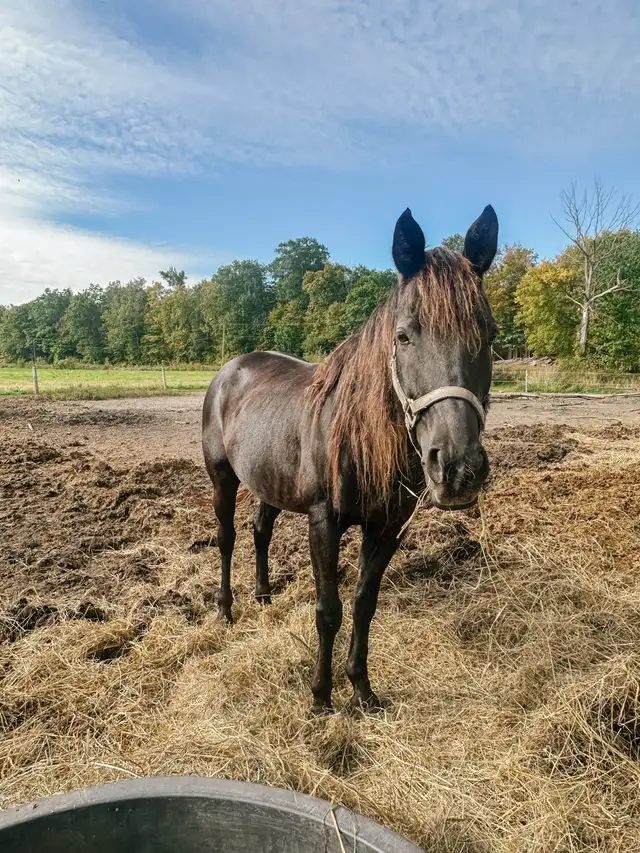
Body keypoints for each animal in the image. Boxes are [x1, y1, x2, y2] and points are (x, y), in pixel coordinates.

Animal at [202, 205, 498, 714]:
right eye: (403, 336)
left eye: (491, 333)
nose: (458, 470)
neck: (359, 436)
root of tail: (230, 369)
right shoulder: (324, 521)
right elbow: (329, 611)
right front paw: (321, 696)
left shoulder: (389, 525)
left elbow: (363, 604)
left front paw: (361, 688)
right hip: (223, 478)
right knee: (226, 538)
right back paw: (225, 610)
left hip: (269, 481)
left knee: (260, 531)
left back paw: (263, 596)